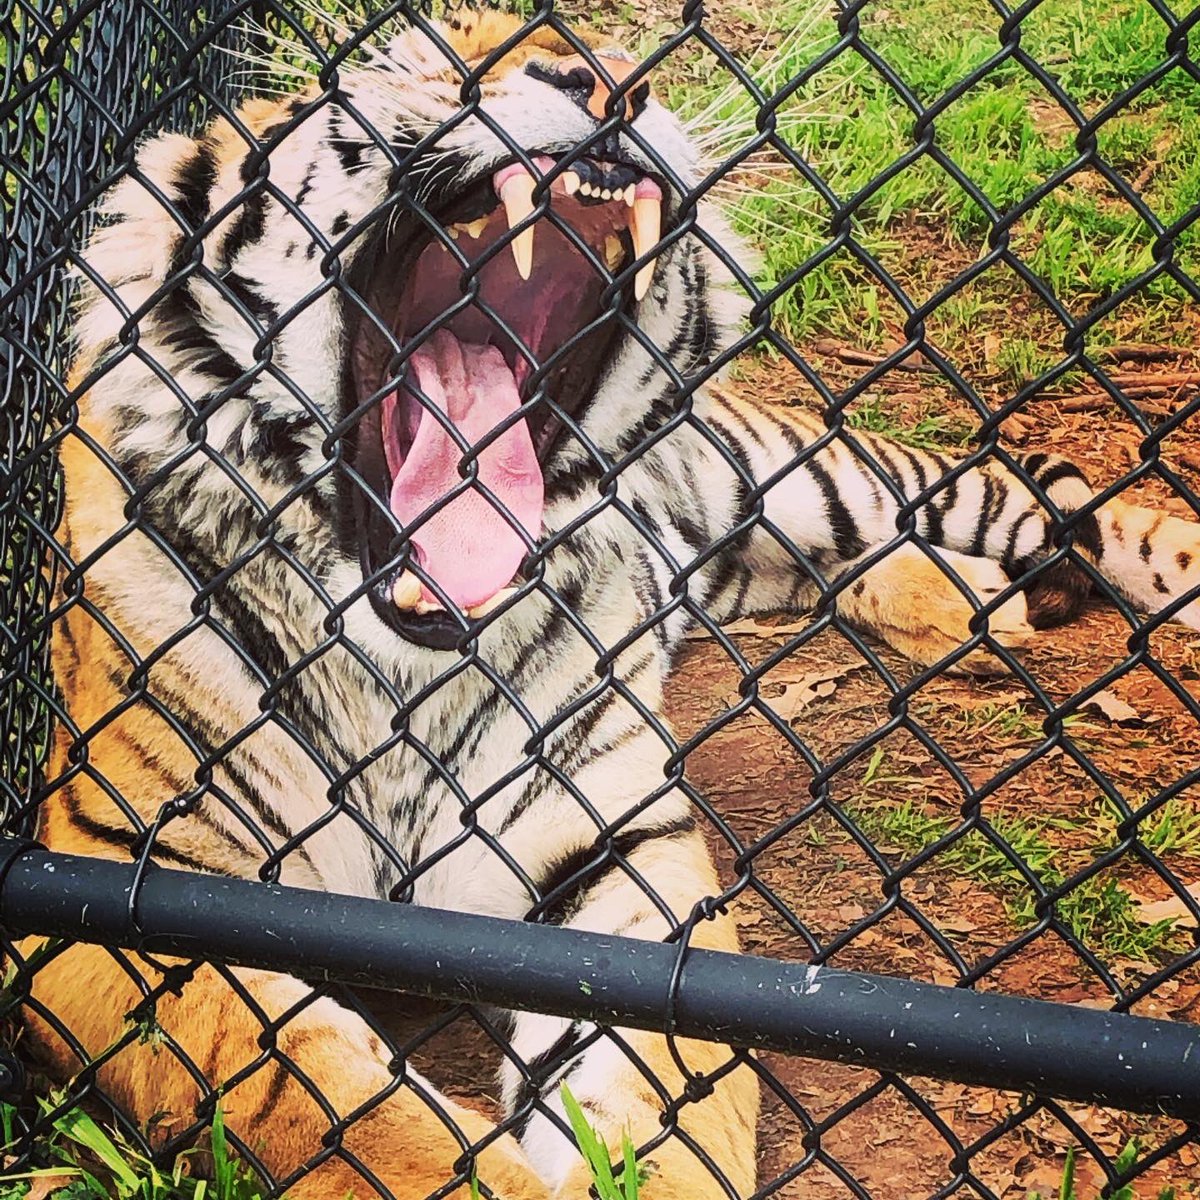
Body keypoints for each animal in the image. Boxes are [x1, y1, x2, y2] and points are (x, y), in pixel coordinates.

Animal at [20, 6, 1200, 1200]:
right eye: (437, 54)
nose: (612, 82)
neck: (402, 659)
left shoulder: (620, 851)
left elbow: (664, 1079)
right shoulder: (117, 885)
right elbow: (329, 1101)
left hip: (810, 470)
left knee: (1069, 508)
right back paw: (974, 611)